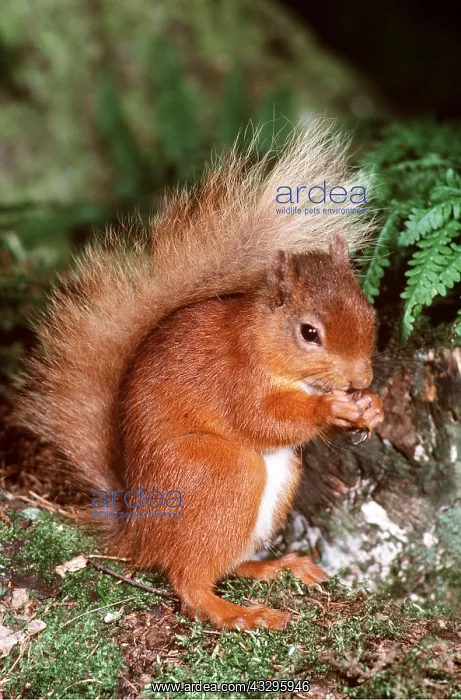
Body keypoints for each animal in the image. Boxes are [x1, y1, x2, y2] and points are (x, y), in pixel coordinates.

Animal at [16, 121, 384, 630]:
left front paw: (372, 407)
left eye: (371, 313)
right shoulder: (232, 378)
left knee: (224, 564)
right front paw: (332, 406)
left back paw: (277, 566)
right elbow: (262, 419)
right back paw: (239, 614)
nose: (359, 379)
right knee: (189, 582)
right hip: (219, 472)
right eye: (309, 332)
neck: (260, 342)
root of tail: (138, 534)